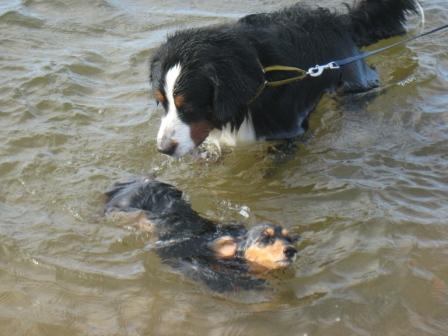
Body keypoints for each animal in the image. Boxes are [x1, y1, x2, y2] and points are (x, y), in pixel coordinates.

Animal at [150, 0, 416, 157]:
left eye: (189, 106)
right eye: (162, 102)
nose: (163, 149)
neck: (259, 77)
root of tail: (340, 20)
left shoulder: (289, 130)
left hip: (351, 80)